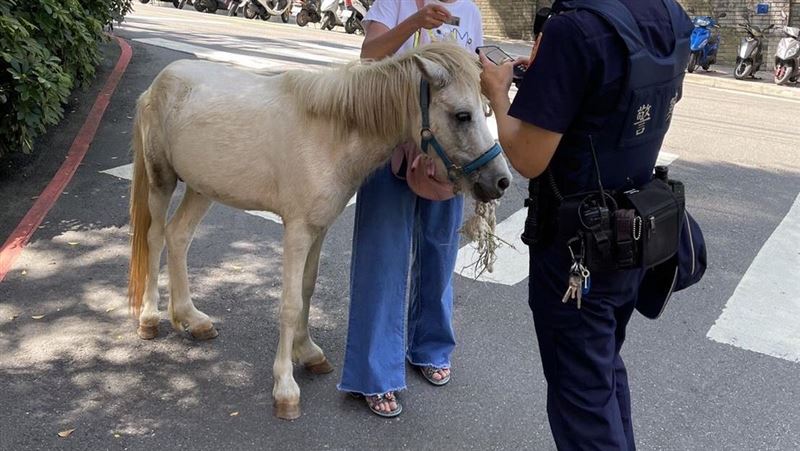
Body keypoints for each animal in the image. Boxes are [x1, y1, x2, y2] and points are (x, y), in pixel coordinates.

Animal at [127, 42, 512, 420]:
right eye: (462, 115)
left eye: (485, 111)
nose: (500, 181)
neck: (329, 134)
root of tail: (156, 86)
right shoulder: (297, 230)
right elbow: (289, 301)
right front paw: (285, 387)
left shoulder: (319, 227)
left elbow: (307, 289)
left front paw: (309, 353)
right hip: (162, 181)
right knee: (156, 237)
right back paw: (149, 319)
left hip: (201, 188)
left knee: (178, 237)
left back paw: (191, 319)